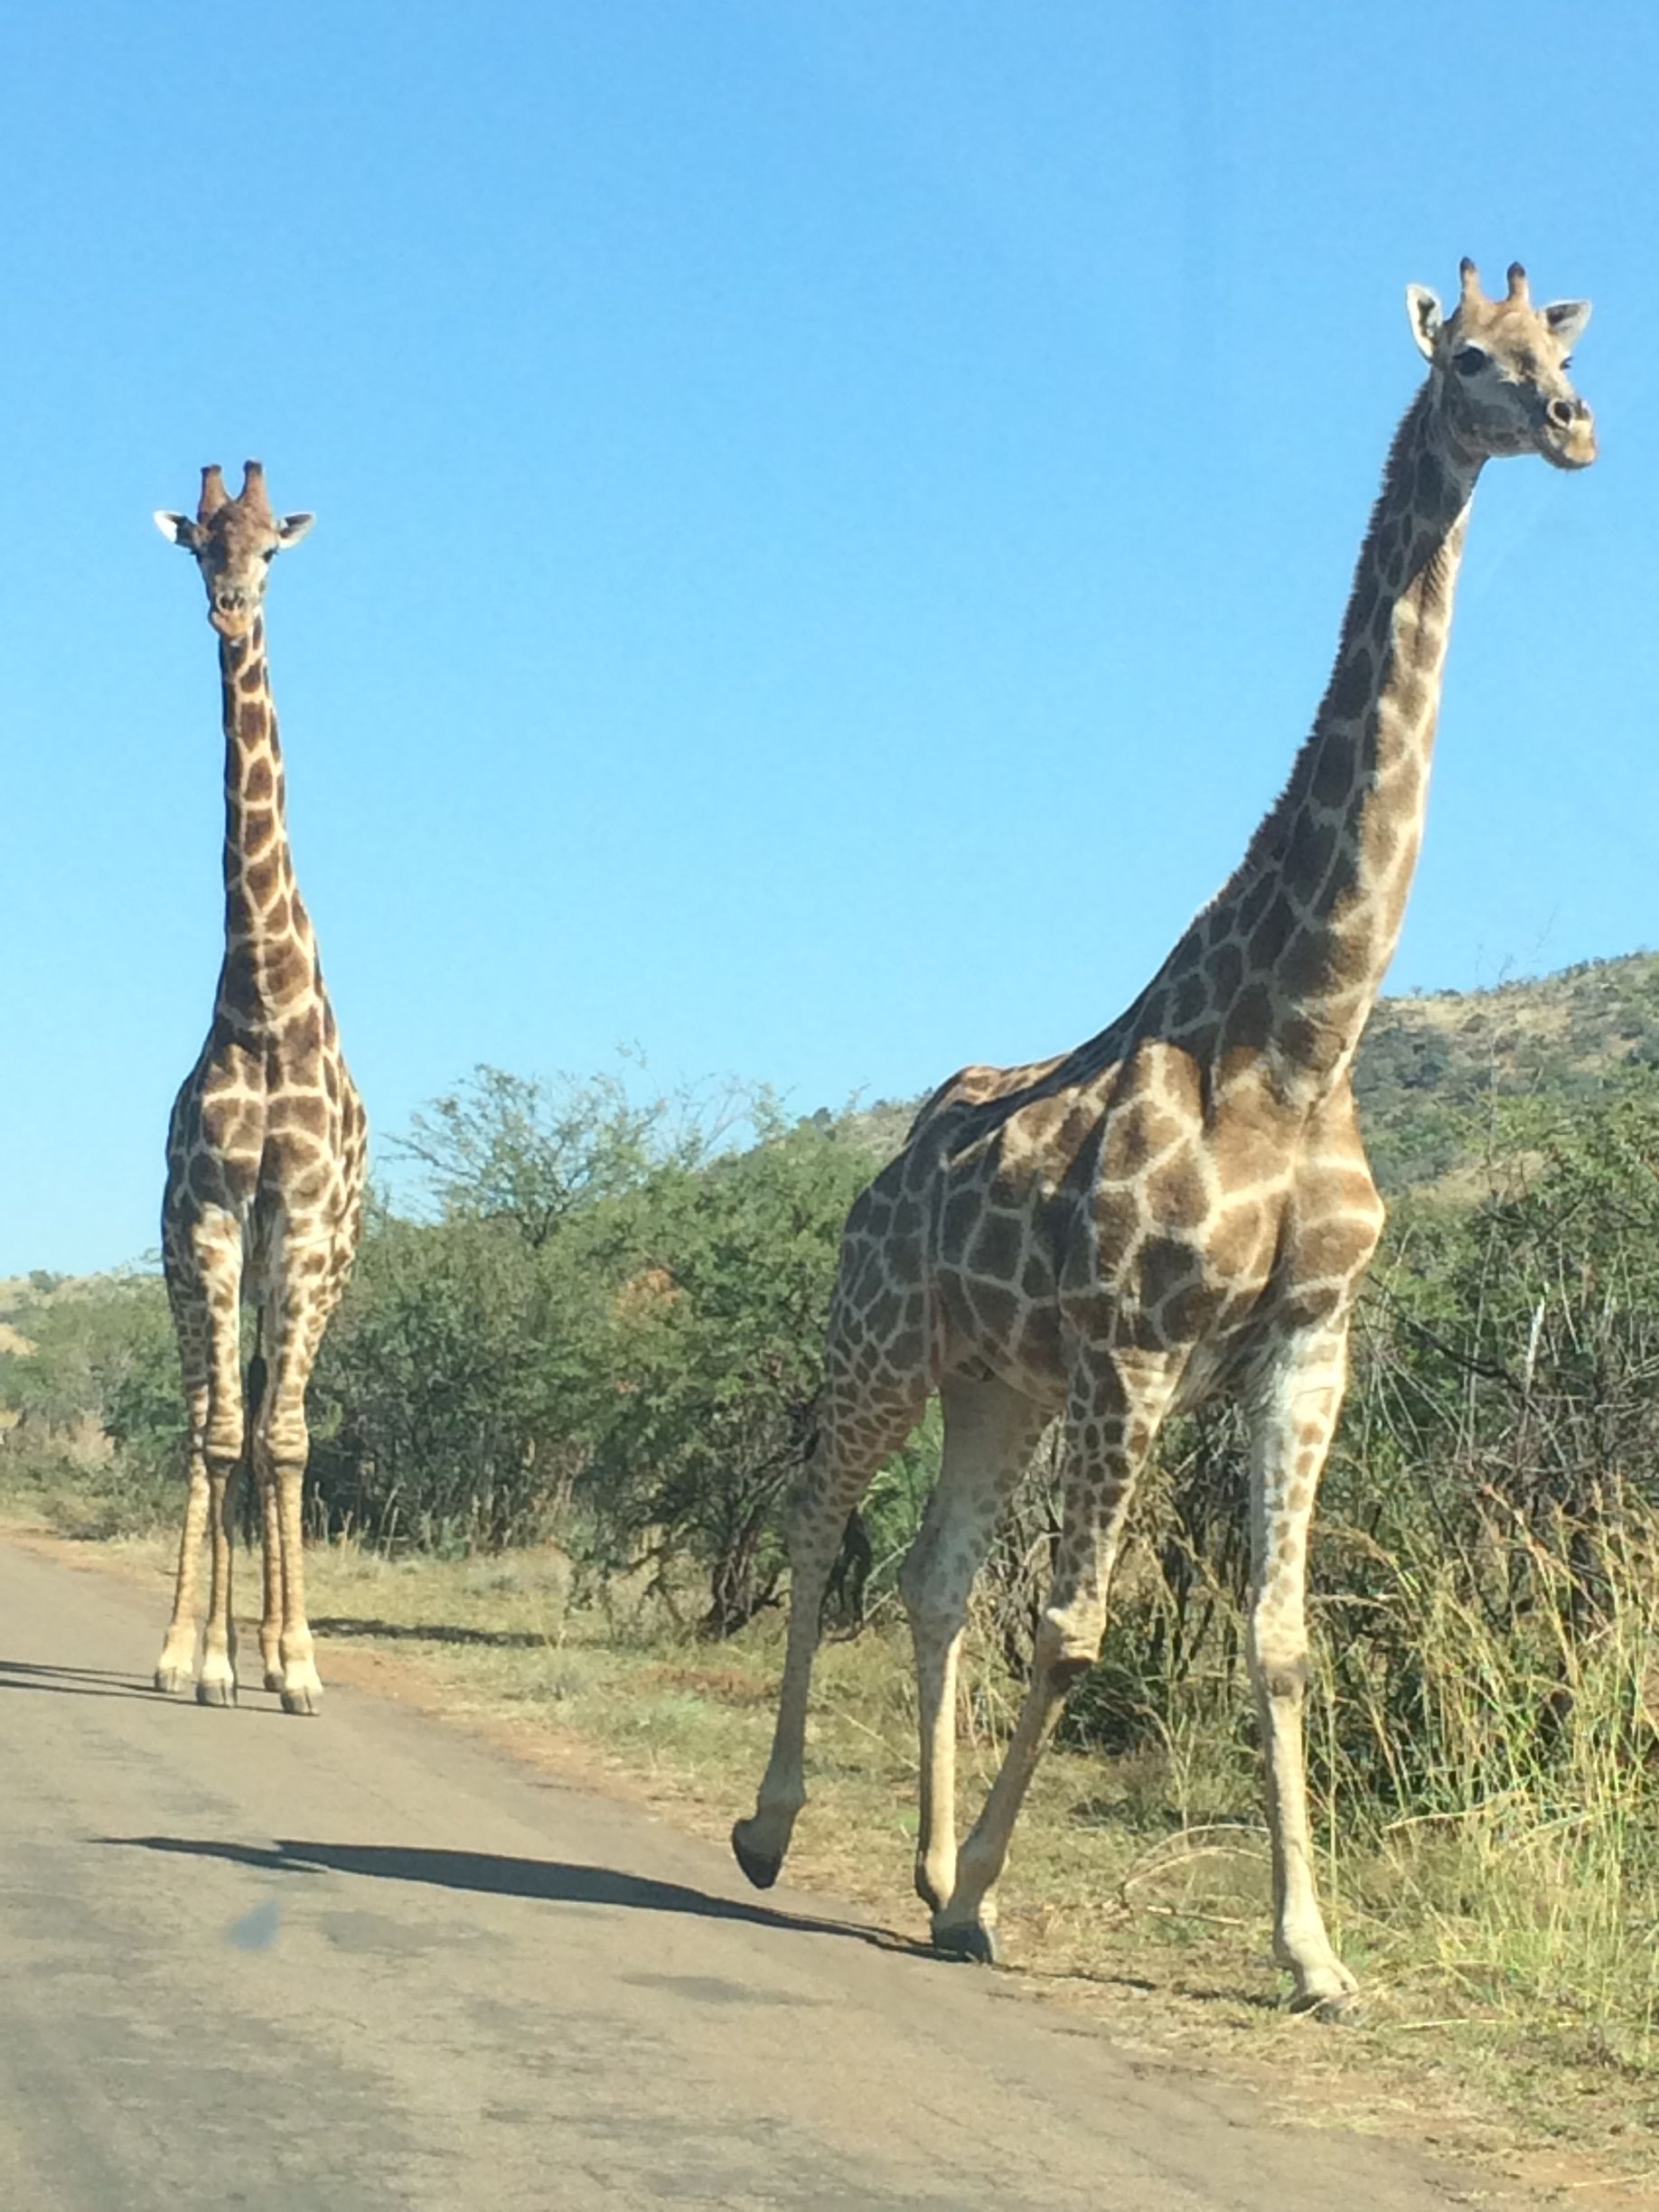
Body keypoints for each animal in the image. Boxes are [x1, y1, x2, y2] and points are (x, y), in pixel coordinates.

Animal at [733, 261, 1595, 2018]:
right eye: (1472, 361)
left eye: (1560, 349)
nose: (1572, 425)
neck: (1301, 1038)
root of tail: (876, 1183)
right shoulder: (1138, 1341)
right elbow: (1073, 1625)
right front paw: (985, 1902)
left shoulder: (1304, 1342)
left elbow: (1278, 1638)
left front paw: (1314, 1954)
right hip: (883, 1338)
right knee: (817, 1519)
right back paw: (776, 1829)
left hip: (997, 1380)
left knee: (932, 1576)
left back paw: (918, 1860)